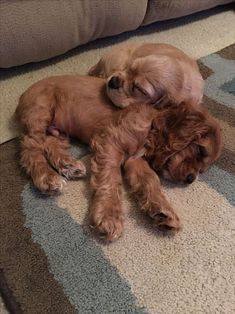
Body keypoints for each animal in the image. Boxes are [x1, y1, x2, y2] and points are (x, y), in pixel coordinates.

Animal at [15, 75, 222, 240]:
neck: (151, 126)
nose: (190, 179)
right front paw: (108, 216)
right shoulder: (109, 141)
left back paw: (69, 165)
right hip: (40, 111)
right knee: (30, 148)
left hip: (58, 131)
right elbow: (110, 178)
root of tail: (23, 94)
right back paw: (47, 177)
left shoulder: (135, 160)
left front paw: (163, 211)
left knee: (49, 144)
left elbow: (150, 179)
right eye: (200, 150)